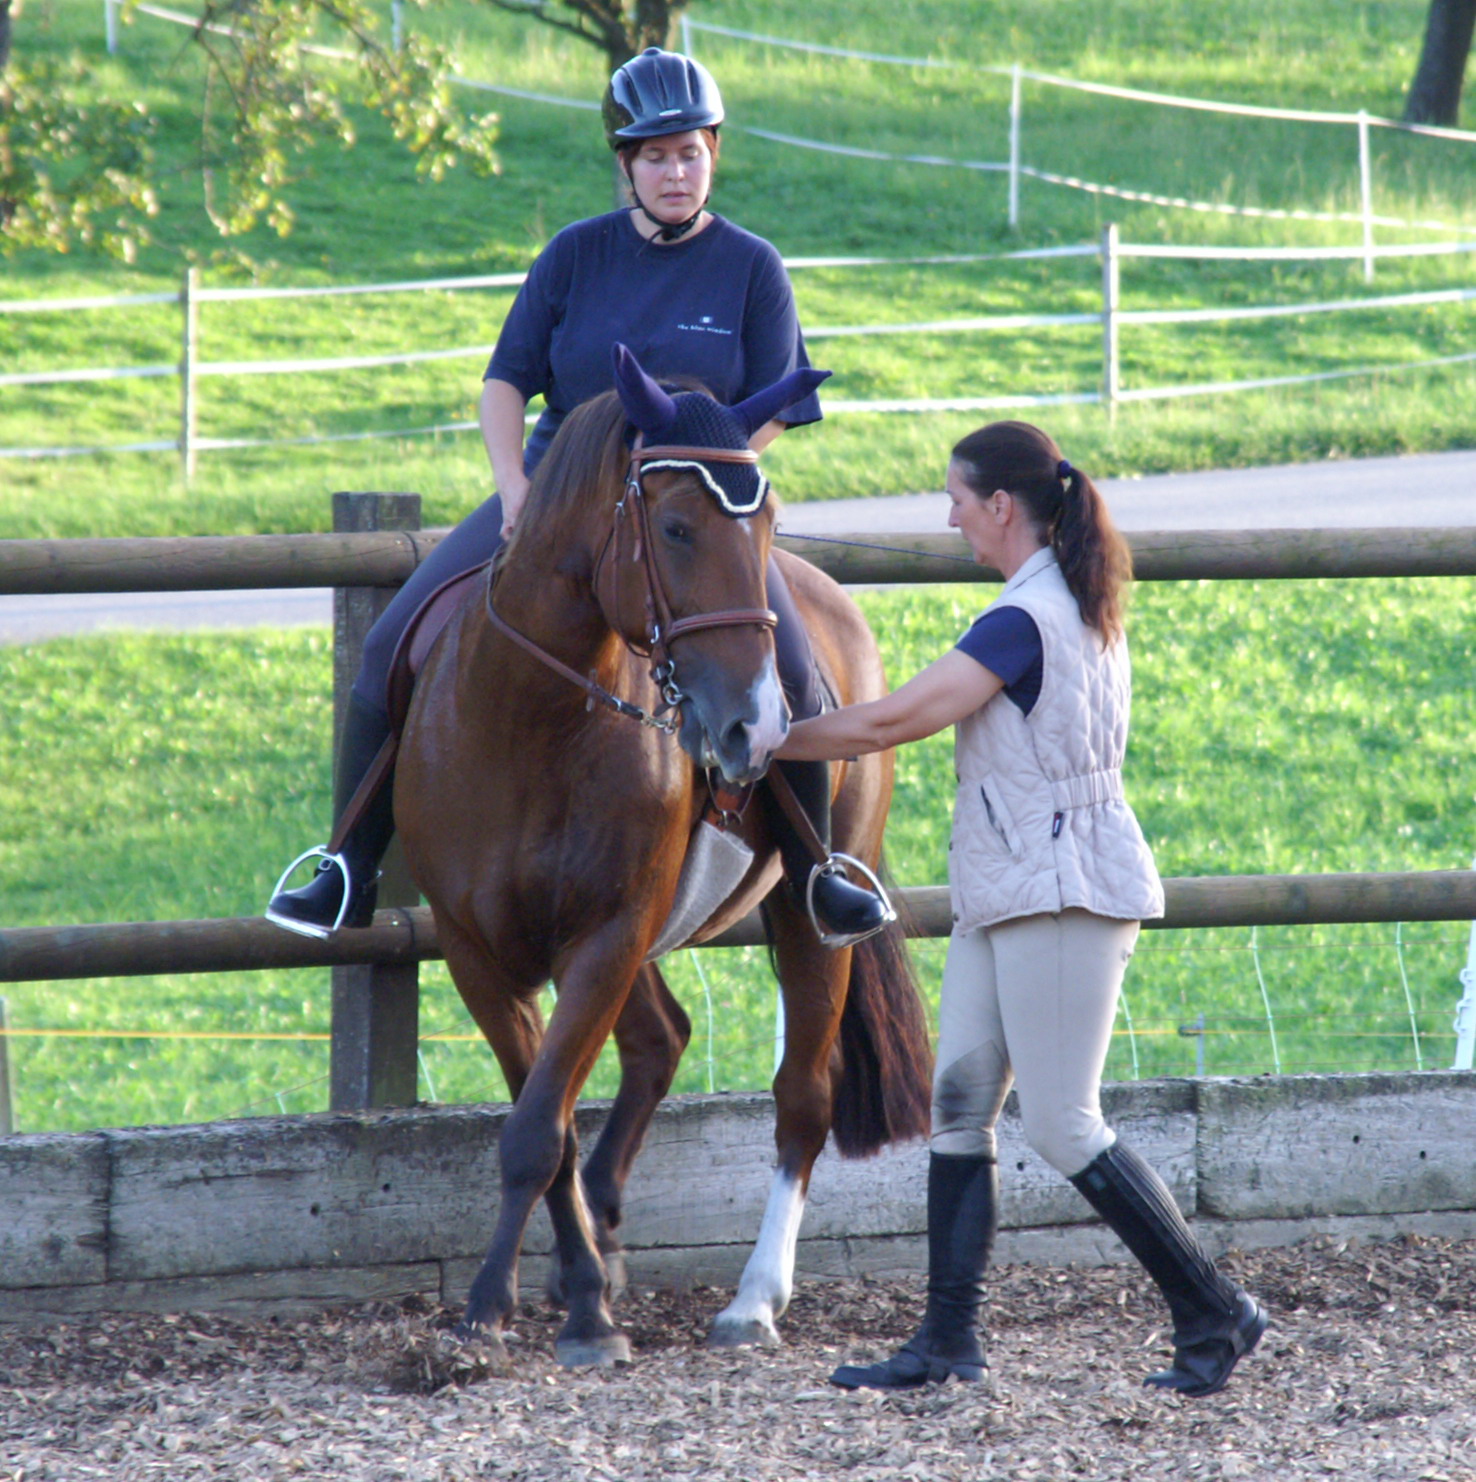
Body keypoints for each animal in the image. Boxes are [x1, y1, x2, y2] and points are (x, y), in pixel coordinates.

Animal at [393, 347, 932, 1367]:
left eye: (764, 522)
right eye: (676, 527)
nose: (754, 726)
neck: (531, 719)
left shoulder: (606, 935)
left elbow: (538, 1129)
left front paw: (542, 1312)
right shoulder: (477, 951)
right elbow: (550, 1125)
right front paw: (557, 1292)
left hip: (804, 913)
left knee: (803, 1098)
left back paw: (753, 1300)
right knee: (661, 1040)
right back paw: (604, 1230)